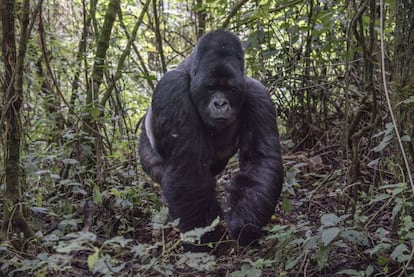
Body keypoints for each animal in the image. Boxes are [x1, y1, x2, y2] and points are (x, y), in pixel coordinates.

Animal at [140, 29, 284, 246]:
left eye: (230, 89)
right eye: (210, 88)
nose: (220, 104)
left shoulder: (258, 94)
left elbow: (261, 160)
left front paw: (243, 224)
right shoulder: (171, 89)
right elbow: (188, 167)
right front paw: (204, 238)